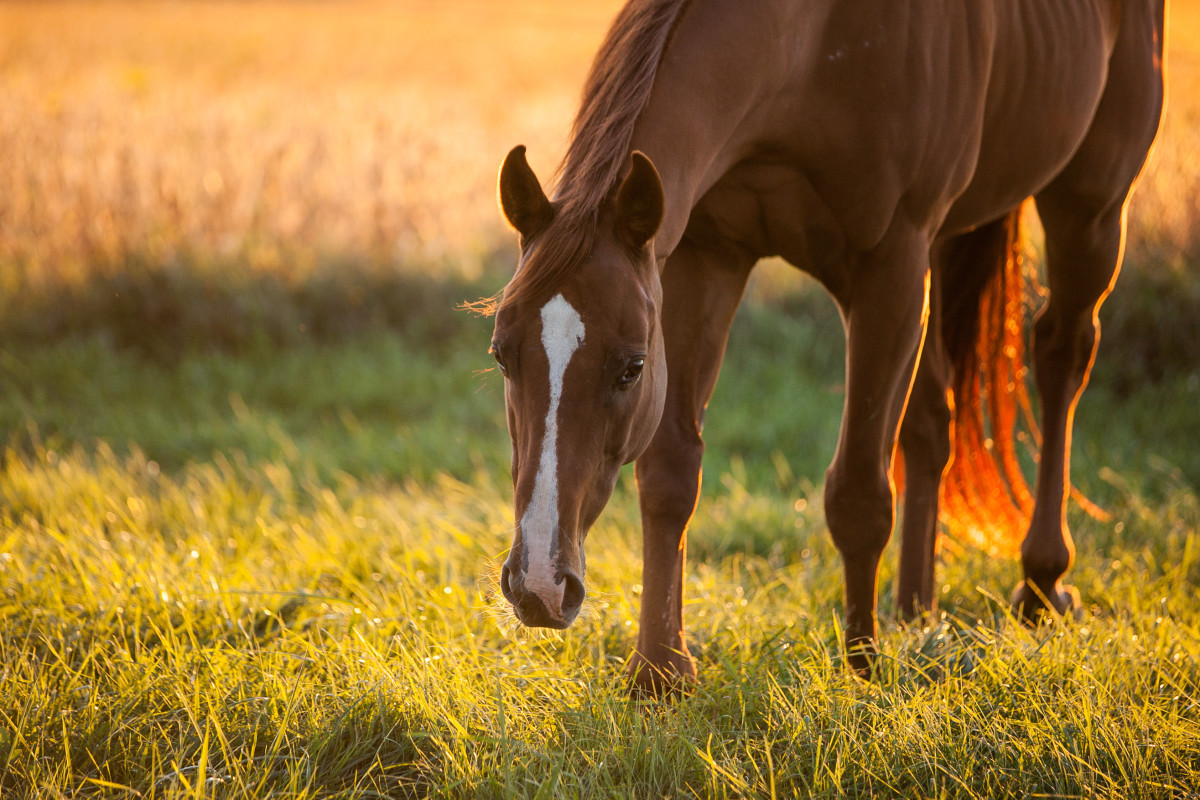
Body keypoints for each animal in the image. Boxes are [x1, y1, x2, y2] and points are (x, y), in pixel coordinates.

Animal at [488, 0, 1166, 696]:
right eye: (501, 355)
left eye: (631, 368)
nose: (539, 586)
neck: (812, 48)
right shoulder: (705, 257)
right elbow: (671, 472)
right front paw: (659, 671)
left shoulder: (889, 268)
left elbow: (859, 493)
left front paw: (862, 670)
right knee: (932, 422)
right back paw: (915, 610)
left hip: (1089, 206)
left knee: (1061, 355)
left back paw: (1040, 581)